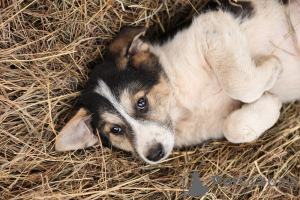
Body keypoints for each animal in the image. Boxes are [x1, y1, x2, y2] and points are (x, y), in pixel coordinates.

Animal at [55, 0, 300, 164]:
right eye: (116, 129)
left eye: (141, 103)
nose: (154, 154)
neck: (180, 106)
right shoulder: (218, 124)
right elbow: (233, 128)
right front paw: (270, 103)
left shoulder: (211, 22)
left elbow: (240, 85)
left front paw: (274, 65)